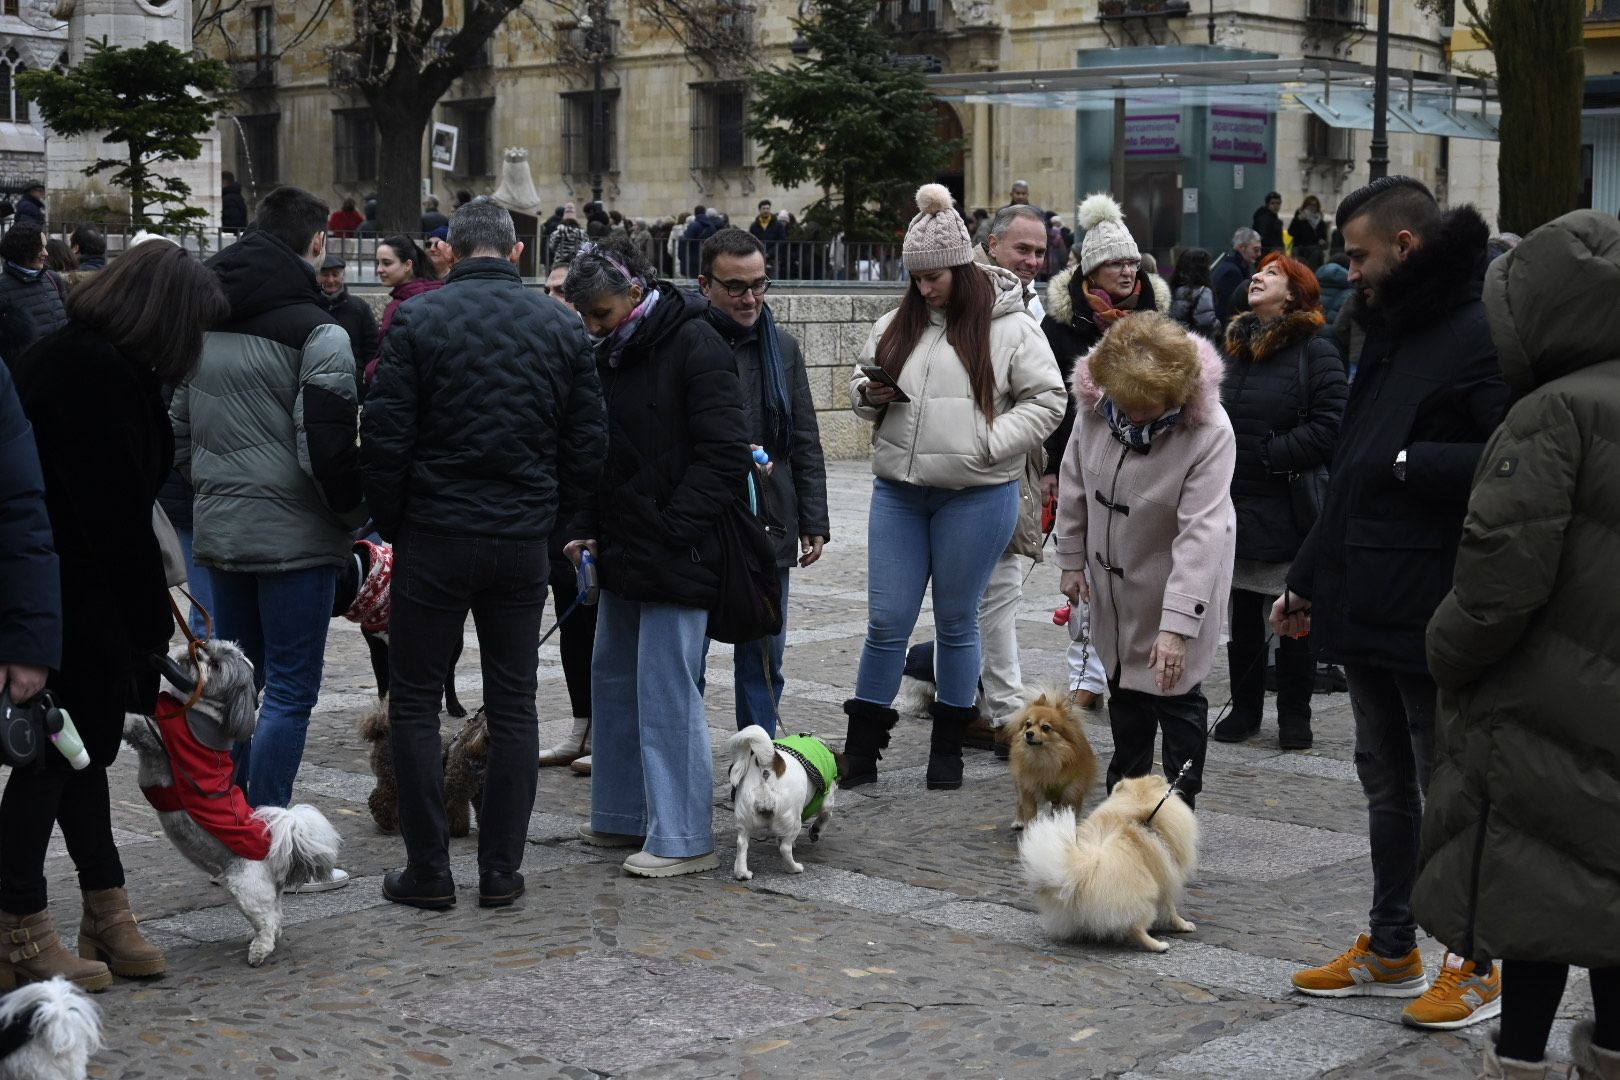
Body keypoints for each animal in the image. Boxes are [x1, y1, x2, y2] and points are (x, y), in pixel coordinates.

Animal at [125, 641, 341, 971]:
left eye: (215, 666)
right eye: (208, 647)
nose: (197, 653)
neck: (200, 712)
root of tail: (277, 845)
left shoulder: (155, 736)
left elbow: (132, 722)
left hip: (248, 888)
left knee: (269, 920)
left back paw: (259, 951)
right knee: (275, 916)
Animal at [725, 725, 842, 887]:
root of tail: (769, 764)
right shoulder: (827, 799)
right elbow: (825, 816)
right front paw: (815, 832)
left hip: (745, 815)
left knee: (742, 844)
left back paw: (742, 873)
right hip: (792, 819)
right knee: (785, 848)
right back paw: (794, 868)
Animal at [1004, 689, 1095, 835]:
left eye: (1046, 727)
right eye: (1028, 724)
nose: (1029, 733)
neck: (1046, 758)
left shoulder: (1072, 792)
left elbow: (1070, 815)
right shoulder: (1028, 789)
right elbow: (1030, 815)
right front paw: (1031, 833)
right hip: (1019, 783)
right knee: (1019, 802)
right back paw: (1018, 821)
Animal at [1017, 773, 1198, 952]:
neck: (1139, 814)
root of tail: (1079, 874)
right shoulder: (1167, 880)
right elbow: (1171, 909)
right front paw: (1183, 925)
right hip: (1145, 896)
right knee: (1134, 928)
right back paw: (1158, 945)